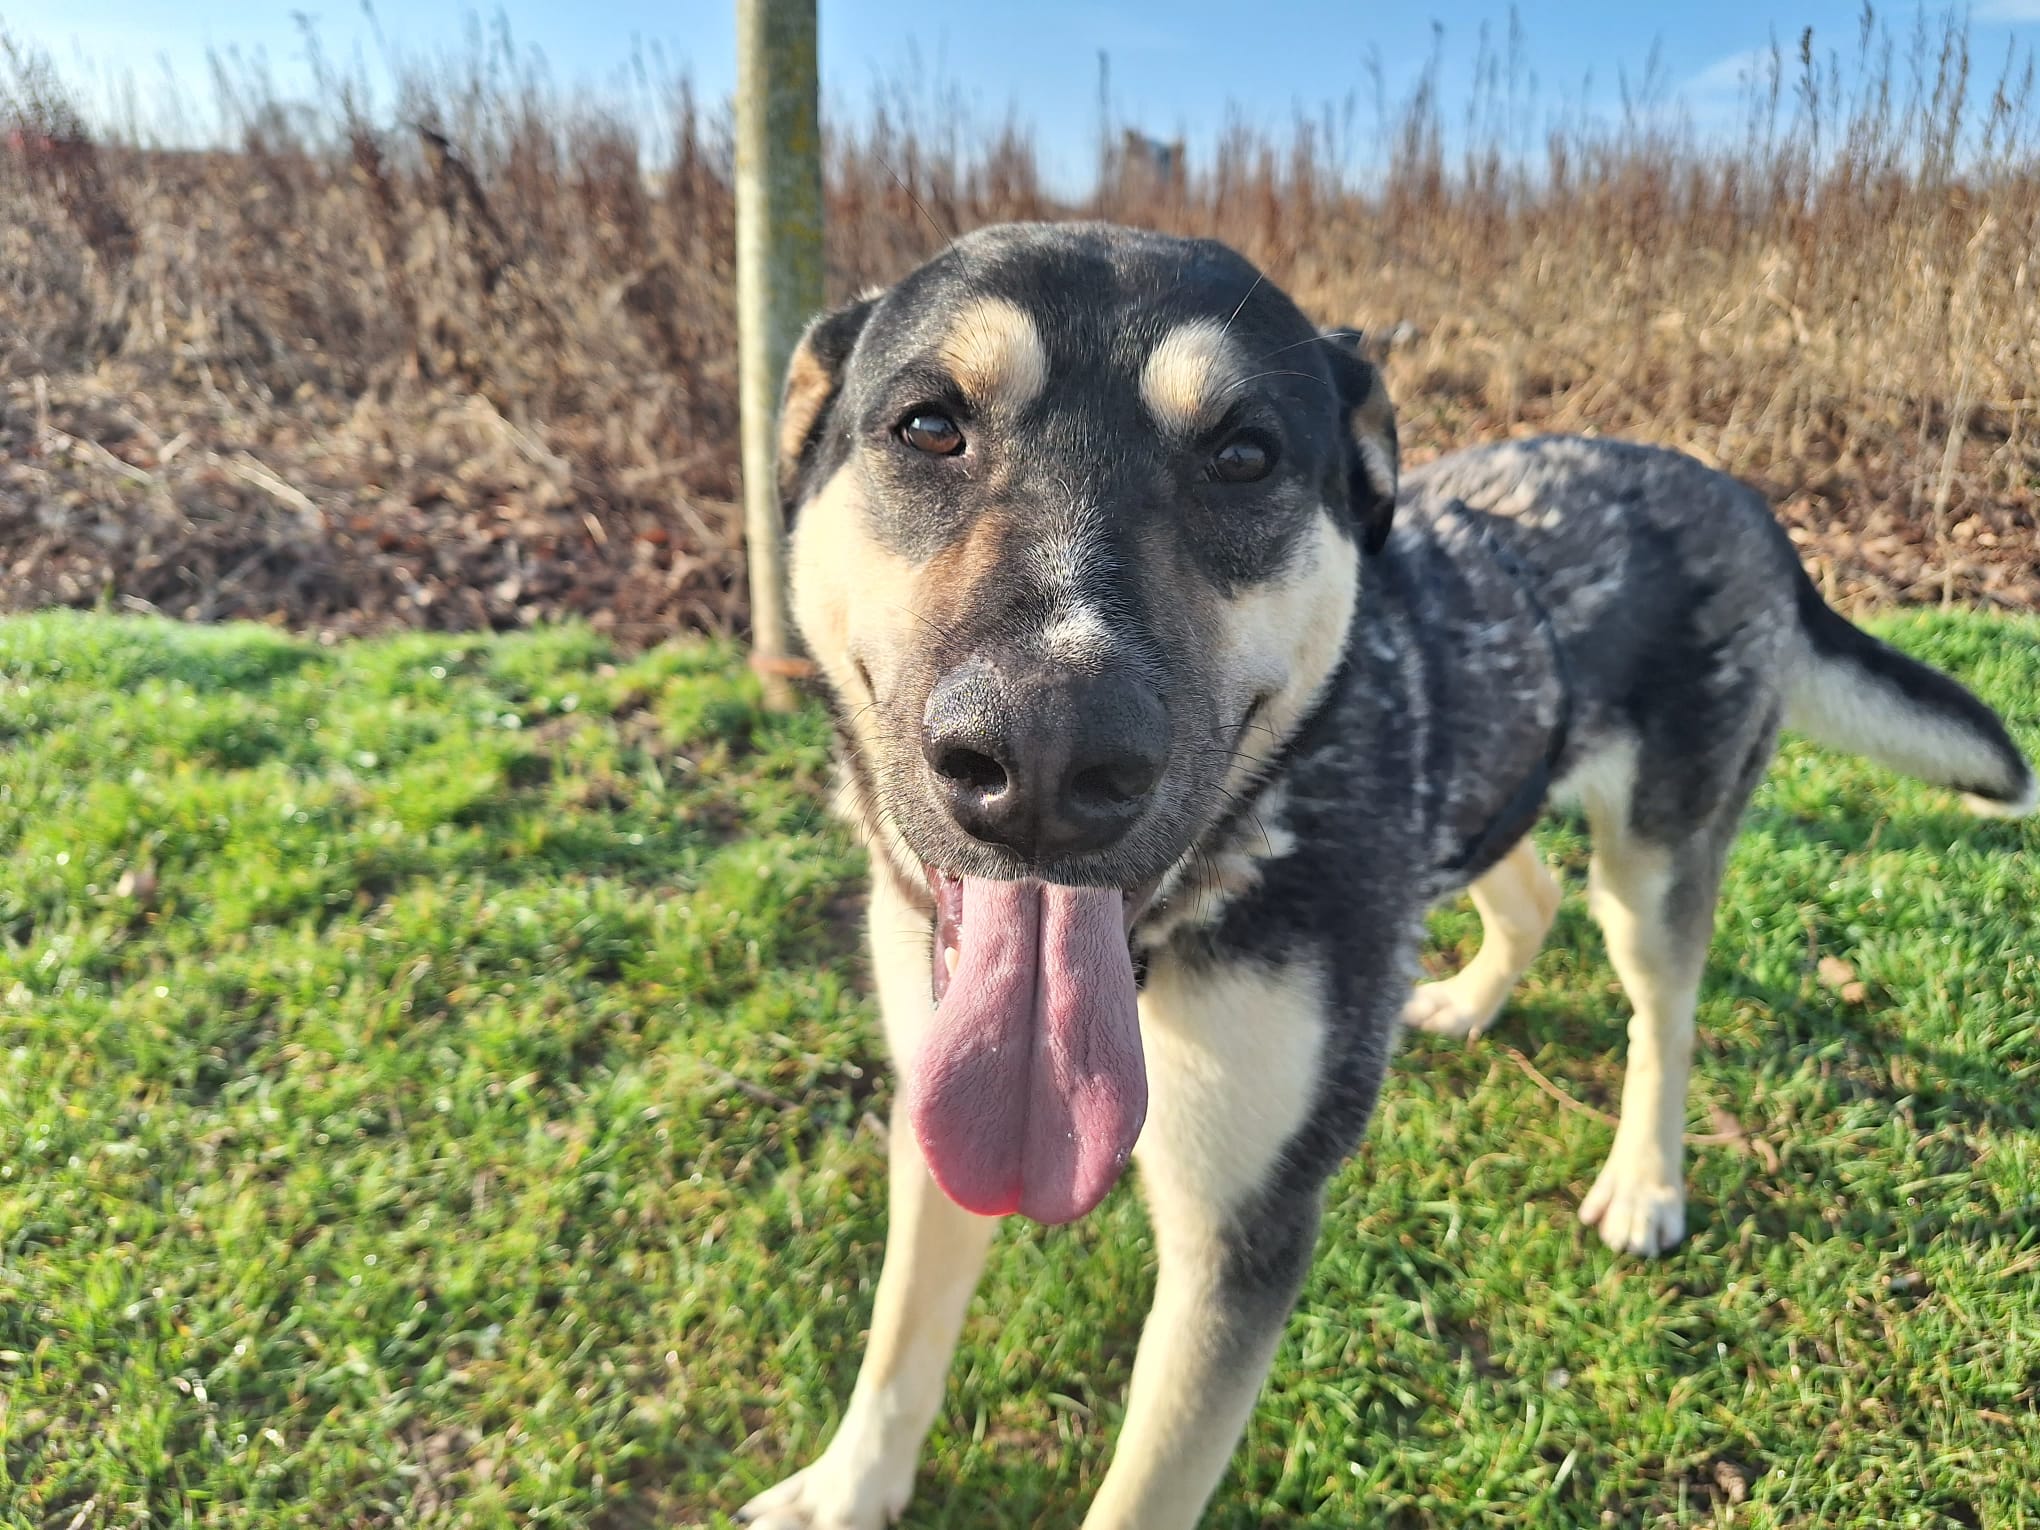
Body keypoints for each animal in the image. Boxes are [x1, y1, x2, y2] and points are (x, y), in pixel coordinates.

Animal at [736, 222, 2035, 1529]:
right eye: (928, 428)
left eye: (1244, 455)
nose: (1046, 760)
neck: (1186, 917)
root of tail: (1746, 501)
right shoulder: (938, 1110)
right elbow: (900, 1339)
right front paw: (844, 1489)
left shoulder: (1243, 1233)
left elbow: (1142, 1487)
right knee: (1530, 895)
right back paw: (1466, 1002)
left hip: (1655, 864)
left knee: (1661, 1012)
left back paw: (1644, 1179)